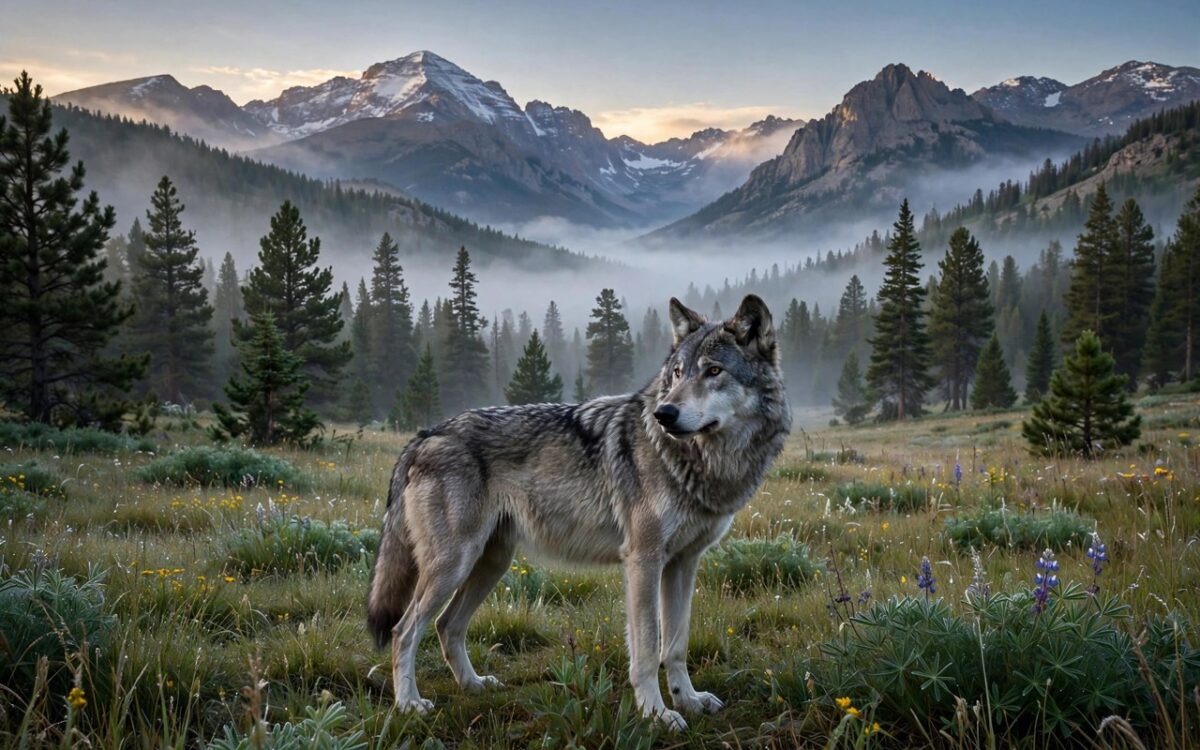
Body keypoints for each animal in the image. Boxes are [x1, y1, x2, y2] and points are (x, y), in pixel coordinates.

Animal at [366, 294, 790, 730]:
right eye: (677, 374)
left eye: (714, 371)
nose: (664, 414)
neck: (701, 462)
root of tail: (424, 436)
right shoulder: (643, 560)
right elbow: (647, 647)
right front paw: (656, 714)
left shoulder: (684, 563)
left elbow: (675, 645)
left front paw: (687, 699)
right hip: (453, 565)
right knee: (404, 630)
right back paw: (409, 704)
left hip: (491, 563)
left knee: (446, 625)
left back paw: (474, 686)